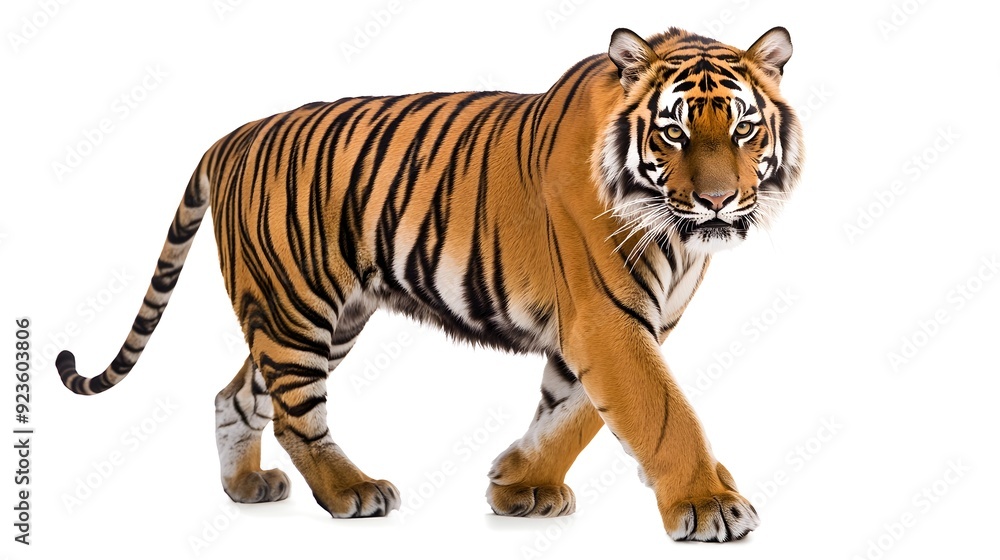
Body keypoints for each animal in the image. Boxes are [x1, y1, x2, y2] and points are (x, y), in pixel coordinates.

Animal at [55, 25, 803, 542]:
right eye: (674, 133)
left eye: (743, 128)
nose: (716, 201)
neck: (675, 234)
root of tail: (231, 136)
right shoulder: (607, 318)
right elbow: (661, 410)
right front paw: (709, 504)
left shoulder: (623, 324)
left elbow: (575, 413)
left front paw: (519, 483)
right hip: (299, 308)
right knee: (297, 414)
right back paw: (351, 491)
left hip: (314, 314)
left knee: (234, 394)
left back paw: (246, 486)